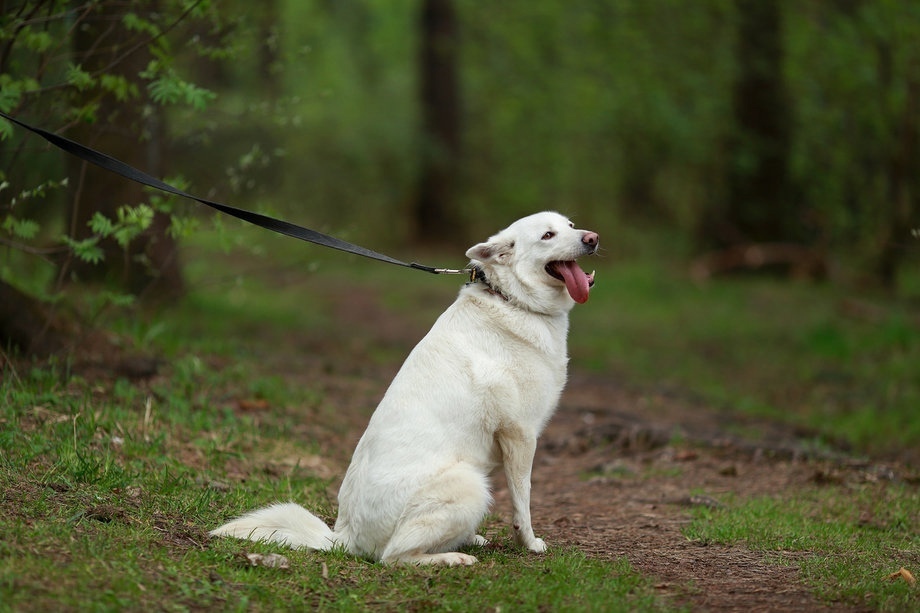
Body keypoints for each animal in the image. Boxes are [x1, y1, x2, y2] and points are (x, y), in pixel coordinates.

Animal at [209, 210, 600, 564]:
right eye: (547, 235)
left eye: (569, 225)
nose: (592, 238)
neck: (511, 299)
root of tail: (345, 538)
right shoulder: (520, 435)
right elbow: (523, 501)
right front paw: (529, 543)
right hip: (469, 483)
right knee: (394, 557)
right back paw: (450, 558)